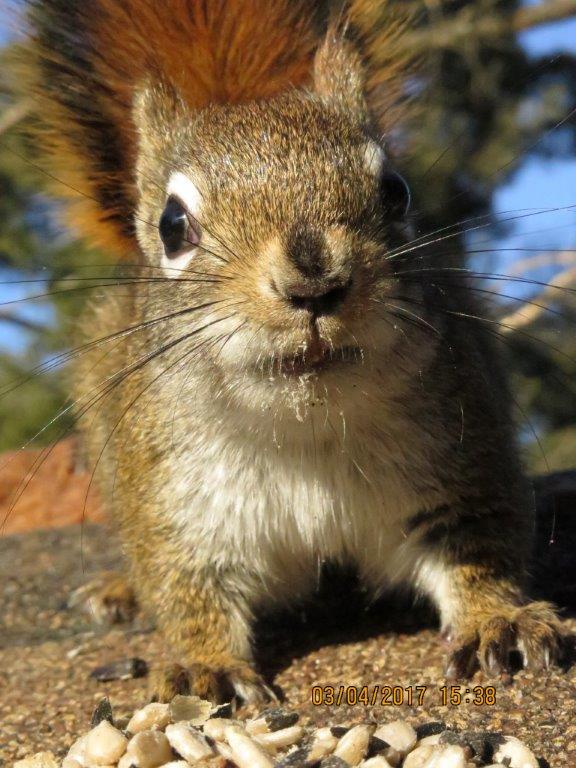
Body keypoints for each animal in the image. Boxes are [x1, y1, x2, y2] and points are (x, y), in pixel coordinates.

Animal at [23, 0, 565, 703]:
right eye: (172, 226)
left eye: (396, 192)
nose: (314, 284)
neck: (306, 425)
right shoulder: (174, 503)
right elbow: (185, 587)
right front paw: (205, 663)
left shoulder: (462, 455)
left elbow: (480, 544)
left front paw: (499, 619)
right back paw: (121, 590)